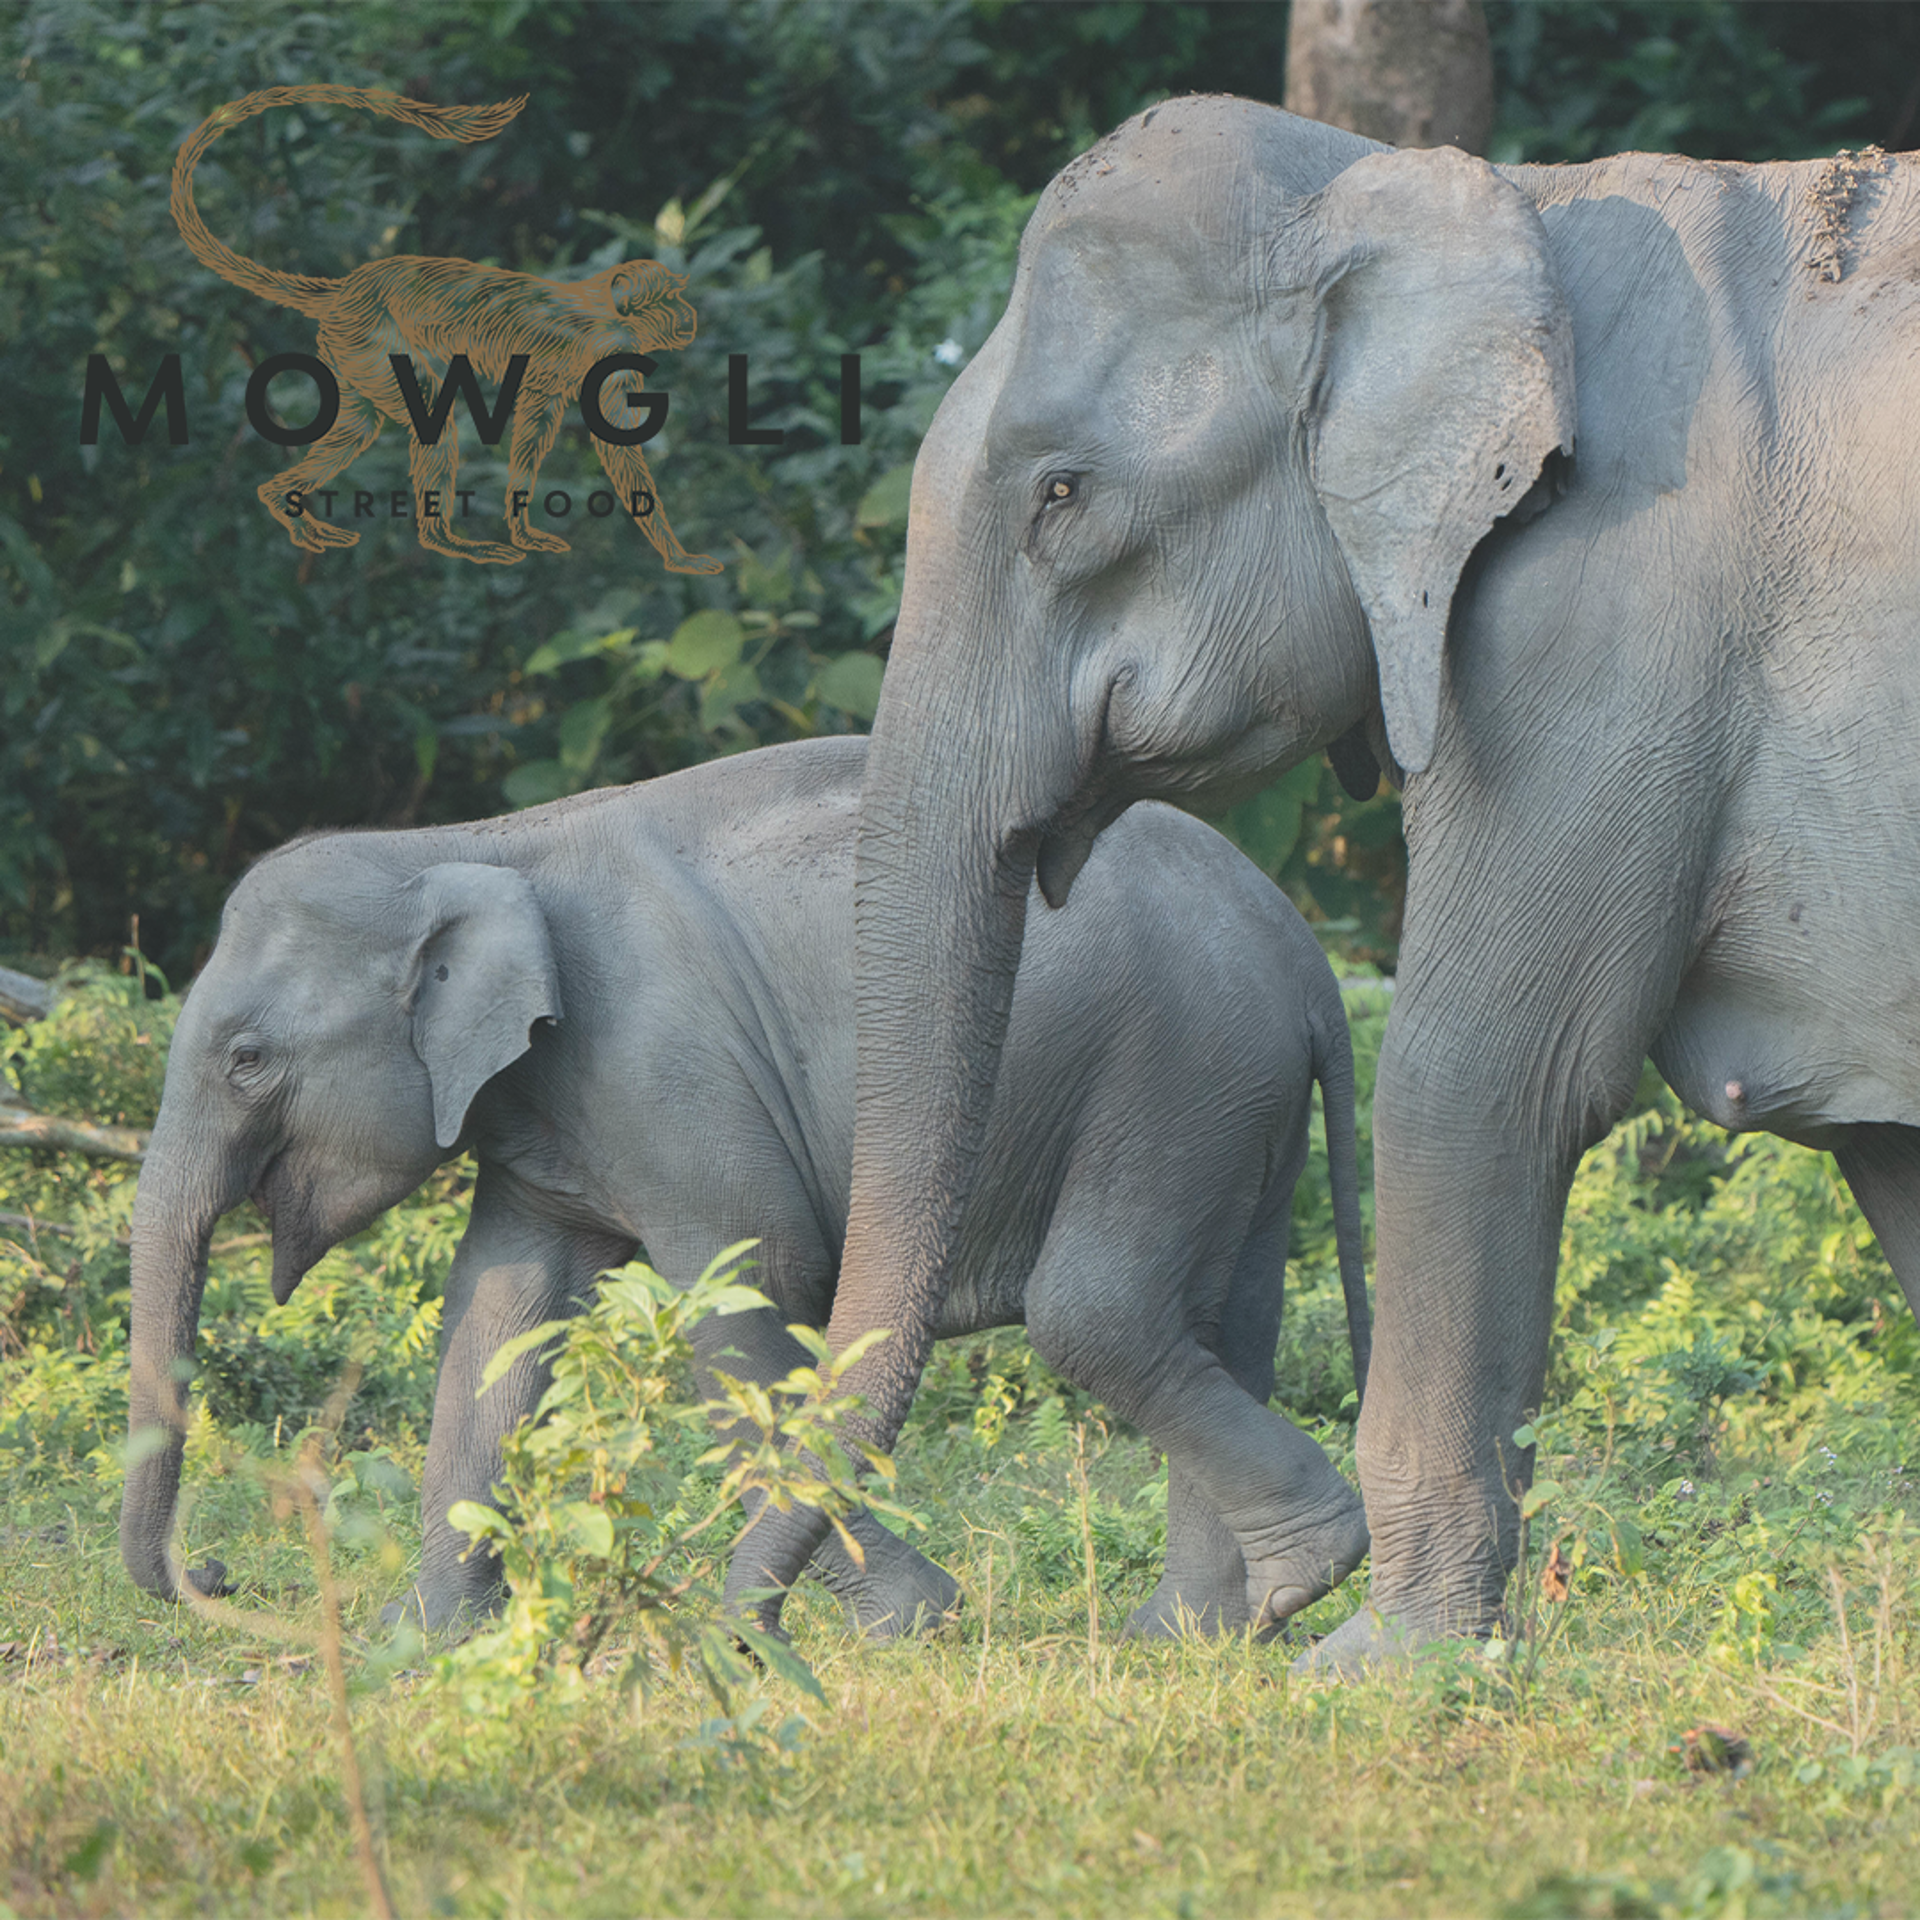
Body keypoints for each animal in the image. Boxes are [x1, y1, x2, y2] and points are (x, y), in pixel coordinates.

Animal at [119, 734, 1371, 1639]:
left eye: (246, 1059)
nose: (218, 1576)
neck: (467, 843)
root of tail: (1307, 959)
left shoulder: (667, 1073)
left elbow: (741, 1302)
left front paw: (908, 1625)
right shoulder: (542, 1112)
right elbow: (499, 1318)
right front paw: (419, 1643)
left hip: (1173, 1069)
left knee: (1099, 1312)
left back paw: (1280, 1586)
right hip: (1234, 1107)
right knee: (1221, 1321)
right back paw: (1203, 1633)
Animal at [724, 94, 1920, 1674]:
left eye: (1062, 495)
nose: (750, 1648)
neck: (1484, 197)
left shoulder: (1602, 630)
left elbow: (1484, 1074)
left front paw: (1375, 1668)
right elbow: (1893, 1156)